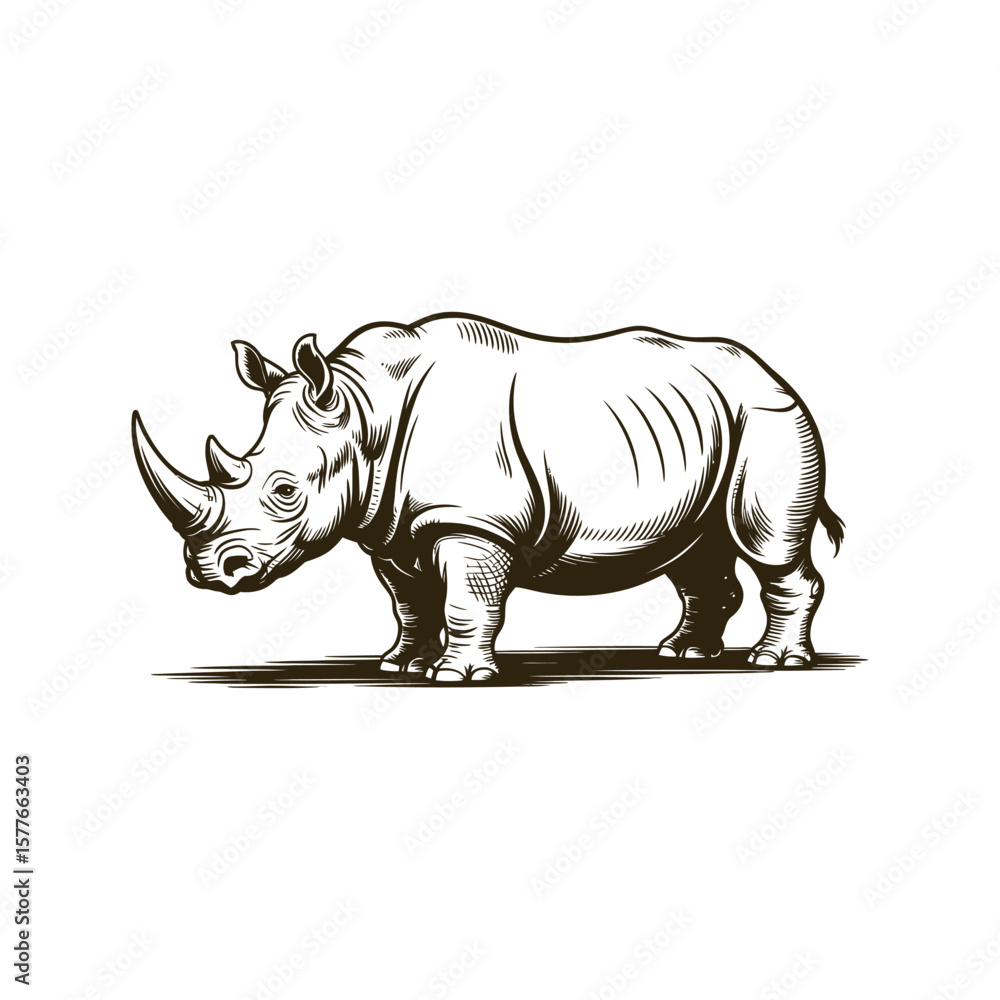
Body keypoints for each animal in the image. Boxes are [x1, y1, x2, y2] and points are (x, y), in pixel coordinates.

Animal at [132, 312, 843, 682]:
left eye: (283, 491)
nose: (209, 571)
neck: (364, 413)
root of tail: (772, 371)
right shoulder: (390, 525)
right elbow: (411, 602)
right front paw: (400, 665)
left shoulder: (473, 523)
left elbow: (466, 602)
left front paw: (458, 676)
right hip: (703, 424)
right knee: (694, 549)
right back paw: (684, 654)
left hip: (770, 418)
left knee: (767, 547)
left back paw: (774, 661)